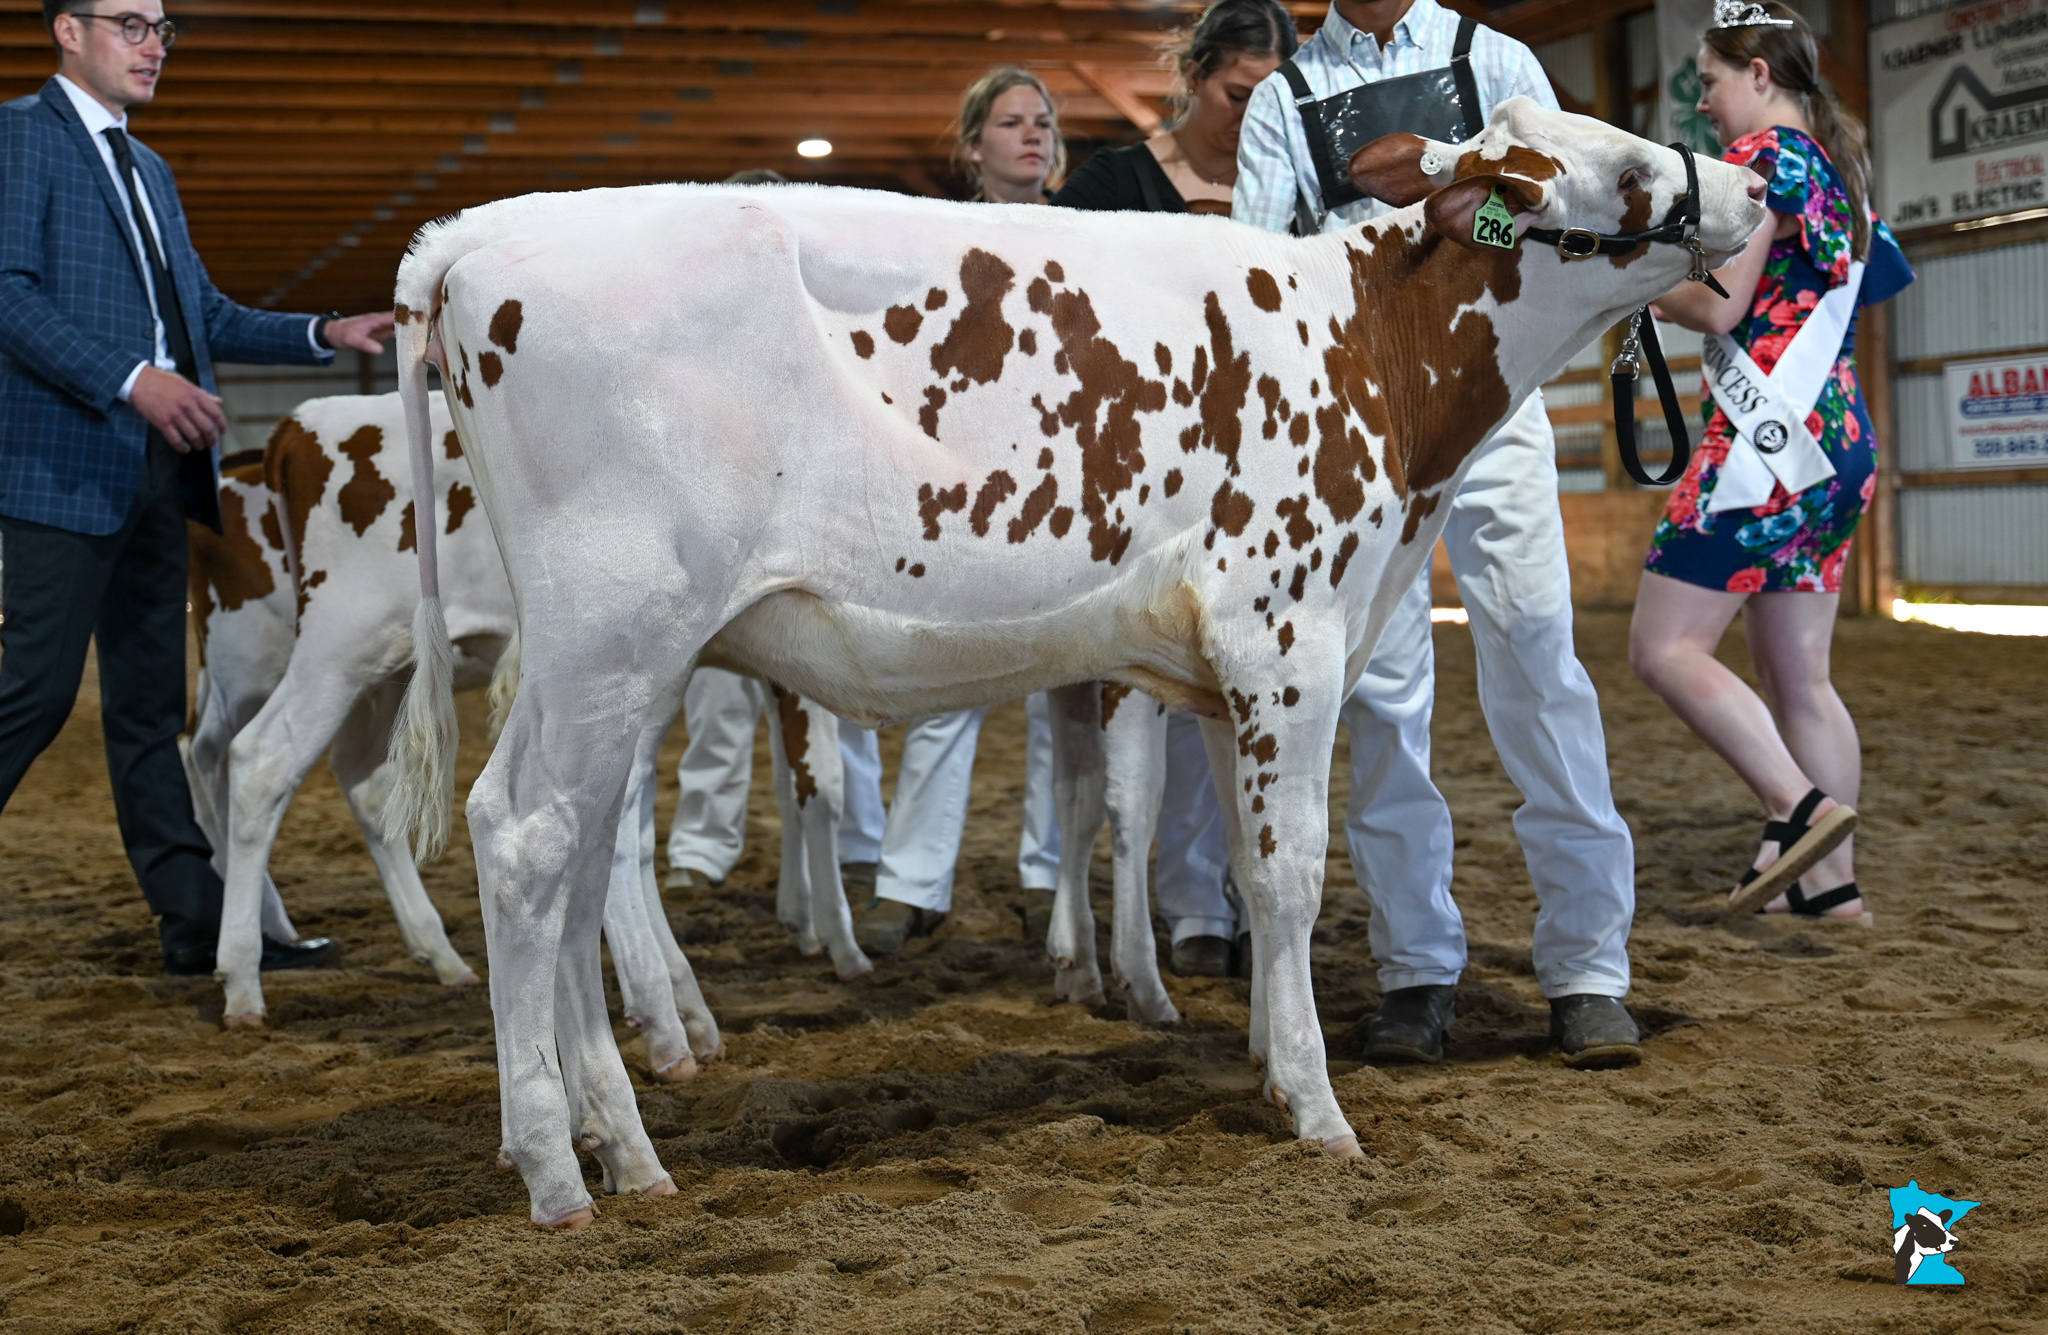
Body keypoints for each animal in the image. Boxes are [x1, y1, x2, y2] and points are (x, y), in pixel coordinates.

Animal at [391, 101, 1769, 1228]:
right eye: (1631, 166)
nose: (1758, 183)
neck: (1368, 348)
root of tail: (481, 235)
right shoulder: (1287, 636)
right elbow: (1289, 876)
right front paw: (1319, 1108)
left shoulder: (1221, 672)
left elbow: (1237, 866)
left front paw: (1261, 1057)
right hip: (612, 632)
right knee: (526, 838)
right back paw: (558, 1171)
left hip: (611, 661)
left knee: (577, 859)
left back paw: (621, 1146)